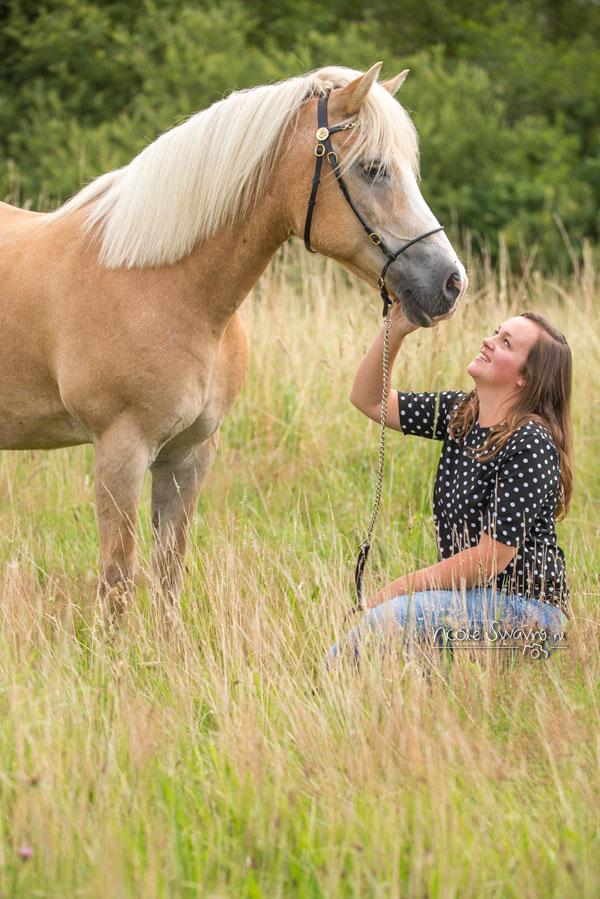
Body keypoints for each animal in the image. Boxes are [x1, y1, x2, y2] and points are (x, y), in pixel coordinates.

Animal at [0, 62, 468, 614]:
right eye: (374, 169)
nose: (450, 283)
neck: (161, 282)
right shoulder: (121, 452)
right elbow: (117, 585)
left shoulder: (187, 456)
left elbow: (168, 577)